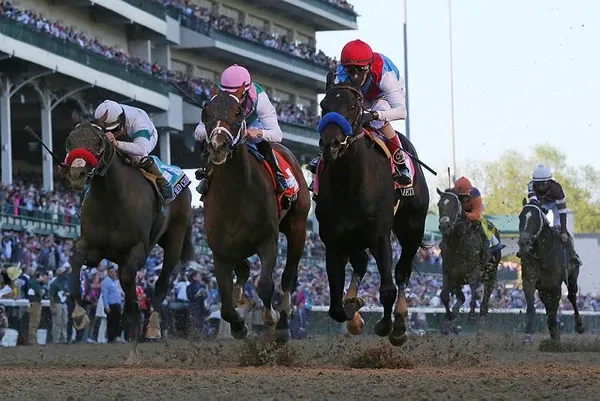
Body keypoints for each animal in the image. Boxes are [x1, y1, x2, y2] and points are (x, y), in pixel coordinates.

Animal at [63, 111, 195, 364]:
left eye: (98, 142)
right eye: (69, 141)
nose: (77, 174)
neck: (112, 198)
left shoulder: (136, 251)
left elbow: (133, 301)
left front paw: (133, 353)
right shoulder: (93, 248)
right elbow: (75, 260)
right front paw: (79, 314)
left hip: (175, 238)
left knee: (162, 283)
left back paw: (152, 327)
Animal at [200, 84, 310, 343]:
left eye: (238, 112)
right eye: (206, 113)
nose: (218, 147)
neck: (235, 196)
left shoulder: (267, 240)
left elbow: (266, 284)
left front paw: (272, 317)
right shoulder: (220, 251)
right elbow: (225, 306)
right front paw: (238, 326)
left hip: (298, 227)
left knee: (288, 276)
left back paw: (282, 322)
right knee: (244, 270)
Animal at [316, 80, 429, 346]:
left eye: (353, 106)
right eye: (324, 105)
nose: (331, 144)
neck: (349, 183)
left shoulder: (380, 236)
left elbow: (387, 288)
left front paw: (388, 325)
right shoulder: (334, 240)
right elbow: (336, 307)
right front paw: (353, 311)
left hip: (412, 228)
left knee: (402, 272)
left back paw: (399, 323)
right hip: (356, 237)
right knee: (361, 263)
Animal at [436, 189, 497, 328]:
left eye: (455, 205)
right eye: (439, 204)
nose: (444, 226)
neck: (458, 243)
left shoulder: (473, 272)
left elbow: (474, 292)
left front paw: (472, 314)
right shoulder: (447, 271)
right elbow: (444, 295)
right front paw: (450, 315)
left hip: (491, 272)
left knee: (487, 291)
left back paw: (482, 313)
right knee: (461, 296)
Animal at [517, 199, 584, 343]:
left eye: (536, 219)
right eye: (520, 217)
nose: (524, 243)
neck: (542, 254)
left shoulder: (554, 285)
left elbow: (554, 308)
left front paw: (554, 332)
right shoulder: (529, 280)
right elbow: (531, 306)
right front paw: (528, 334)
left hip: (572, 276)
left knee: (571, 297)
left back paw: (579, 326)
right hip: (544, 288)